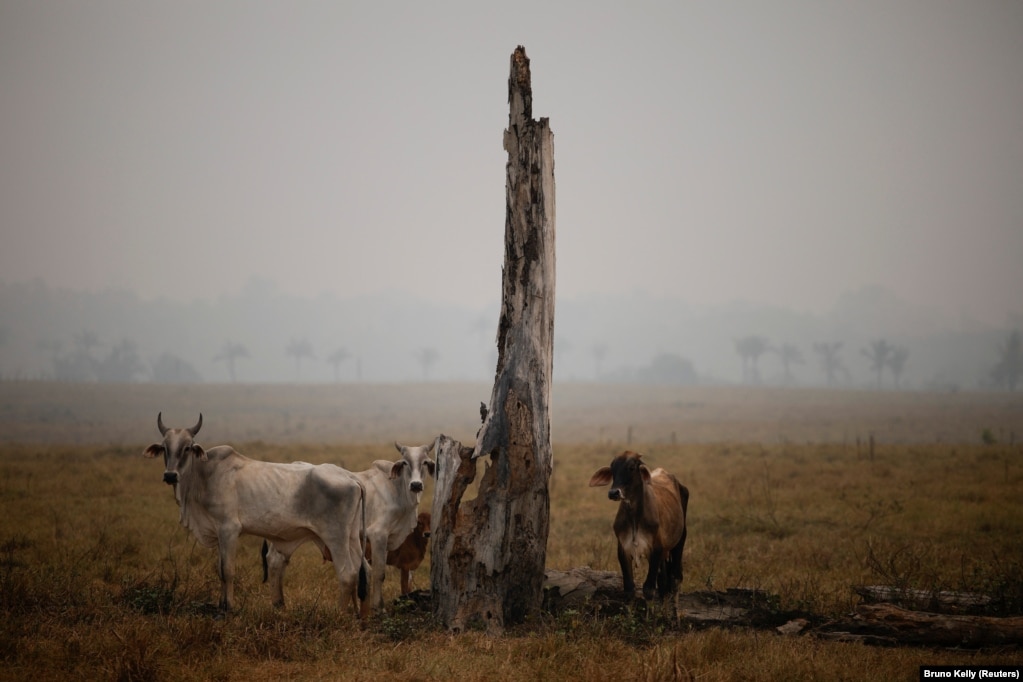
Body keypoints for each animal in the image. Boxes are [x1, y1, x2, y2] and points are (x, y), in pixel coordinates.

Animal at [144, 413, 368, 617]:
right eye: (165, 448)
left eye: (187, 447)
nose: (170, 475)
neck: (203, 476)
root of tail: (352, 478)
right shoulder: (217, 533)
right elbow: (219, 570)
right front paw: (220, 605)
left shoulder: (229, 529)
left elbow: (227, 570)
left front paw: (228, 607)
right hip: (352, 538)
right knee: (362, 569)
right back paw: (359, 615)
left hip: (335, 537)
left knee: (347, 573)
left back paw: (338, 614)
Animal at [589, 449, 691, 601]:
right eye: (612, 469)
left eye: (631, 468)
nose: (614, 493)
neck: (635, 518)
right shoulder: (623, 549)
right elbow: (629, 589)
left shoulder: (656, 550)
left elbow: (649, 589)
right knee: (664, 579)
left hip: (679, 540)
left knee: (676, 577)